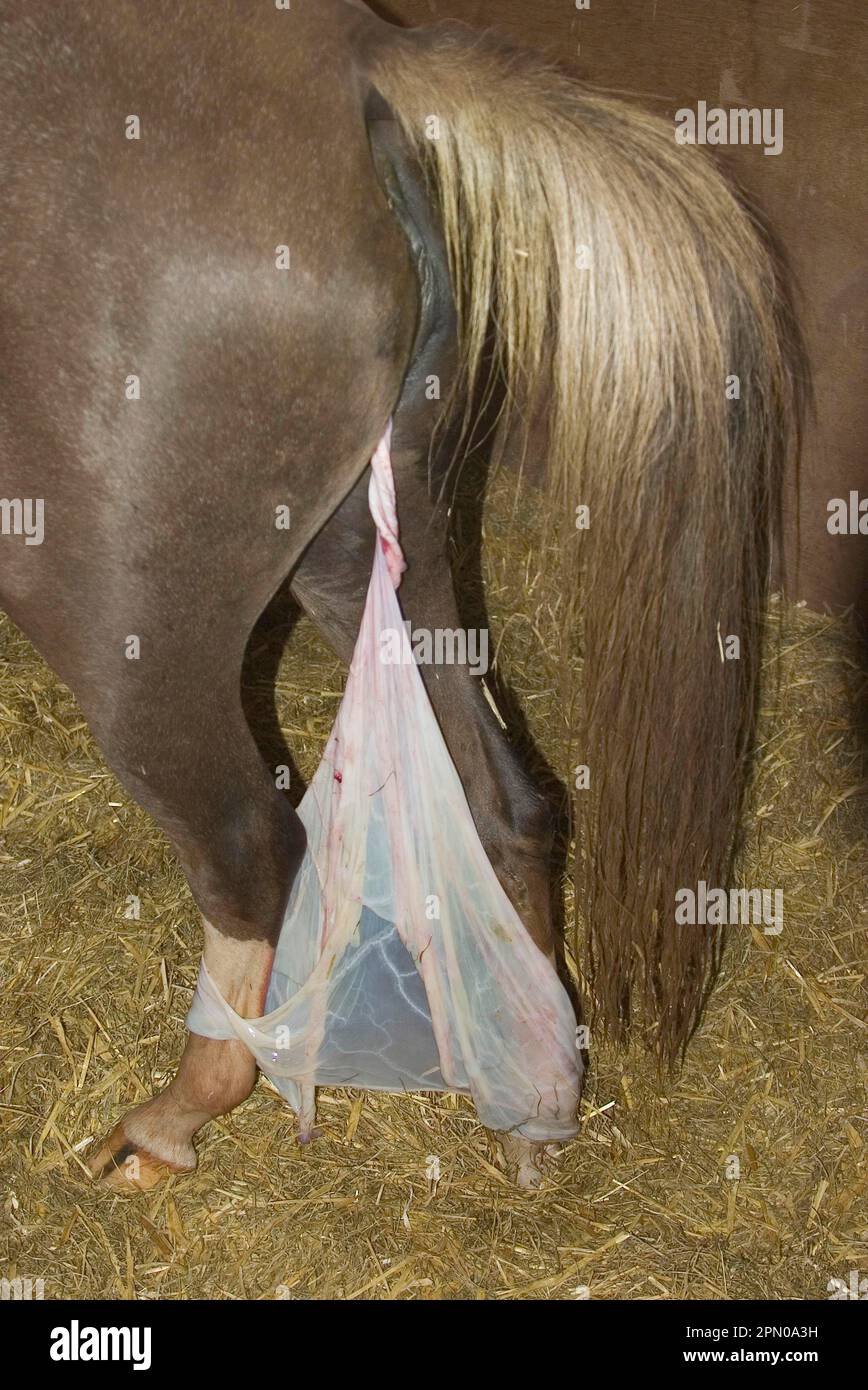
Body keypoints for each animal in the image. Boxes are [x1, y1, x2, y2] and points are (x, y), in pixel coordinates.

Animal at [0, 0, 801, 1190]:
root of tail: (357, 61)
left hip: (129, 627)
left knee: (251, 848)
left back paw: (171, 1120)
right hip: (379, 539)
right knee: (510, 799)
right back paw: (527, 1088)